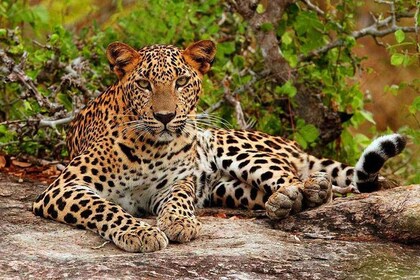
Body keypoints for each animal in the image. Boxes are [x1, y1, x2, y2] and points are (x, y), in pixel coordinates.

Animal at [32, 40, 406, 253]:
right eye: (144, 83)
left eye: (182, 81)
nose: (166, 117)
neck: (151, 147)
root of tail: (292, 143)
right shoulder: (63, 187)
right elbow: (105, 208)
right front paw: (140, 231)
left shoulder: (175, 182)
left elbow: (179, 198)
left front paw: (179, 222)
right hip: (226, 189)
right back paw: (283, 202)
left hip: (231, 146)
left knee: (293, 176)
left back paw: (304, 191)